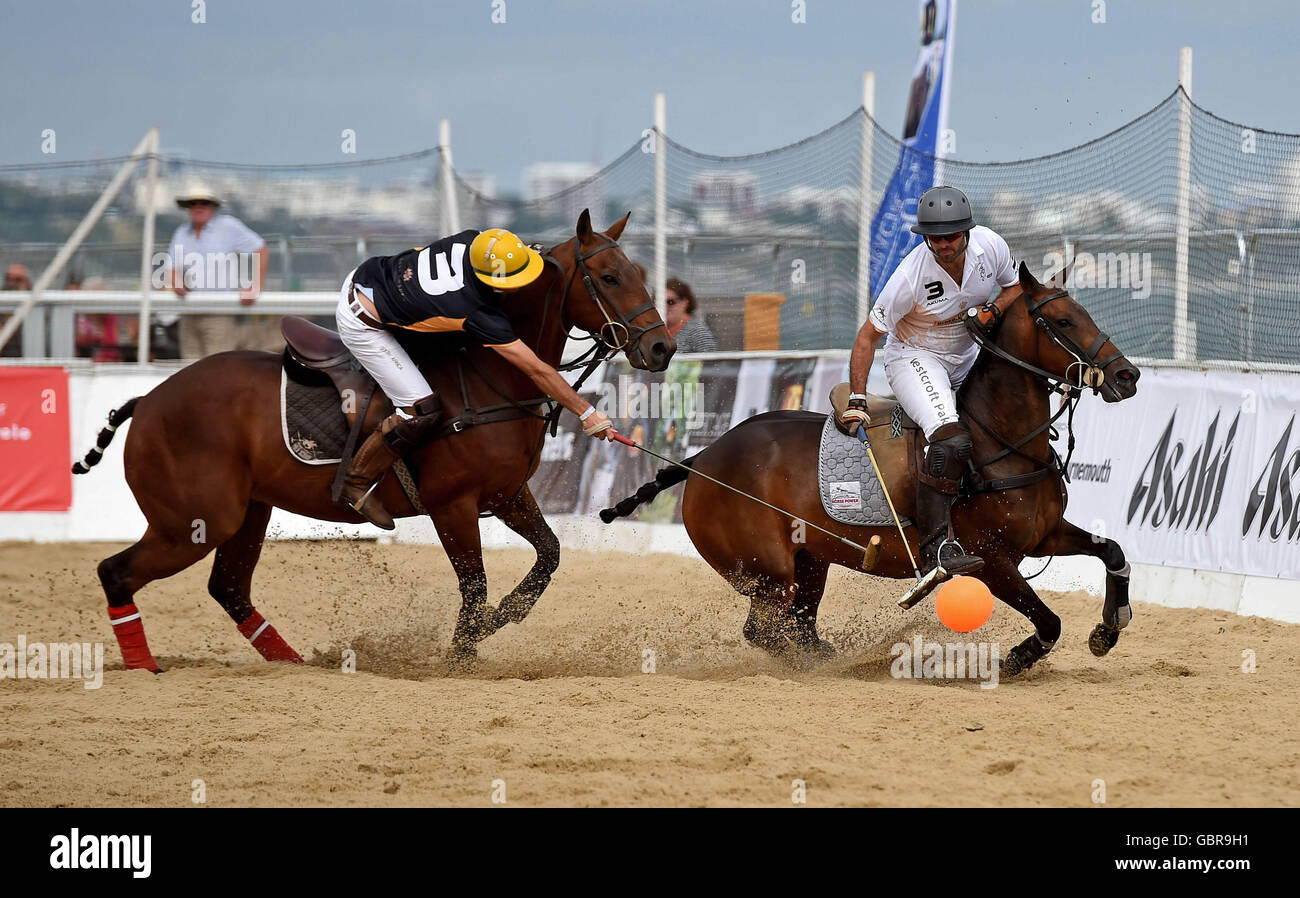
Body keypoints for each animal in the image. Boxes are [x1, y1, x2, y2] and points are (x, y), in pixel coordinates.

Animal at [76, 210, 670, 670]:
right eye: (609, 277)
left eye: (636, 272)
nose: (662, 348)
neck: (490, 376)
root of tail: (149, 400)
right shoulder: (453, 505)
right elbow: (475, 588)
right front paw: (461, 654)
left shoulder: (507, 496)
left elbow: (547, 557)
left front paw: (496, 623)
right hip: (194, 521)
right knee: (116, 573)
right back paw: (143, 665)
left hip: (245, 513)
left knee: (228, 589)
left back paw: (294, 665)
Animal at [608, 263, 1138, 675]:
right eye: (1064, 320)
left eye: (1086, 313)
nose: (1126, 375)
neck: (1002, 441)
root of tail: (703, 459)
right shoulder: (990, 560)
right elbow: (1050, 620)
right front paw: (1018, 657)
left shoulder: (1045, 534)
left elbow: (1112, 551)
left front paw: (1109, 626)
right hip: (768, 572)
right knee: (765, 631)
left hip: (810, 562)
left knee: (798, 627)